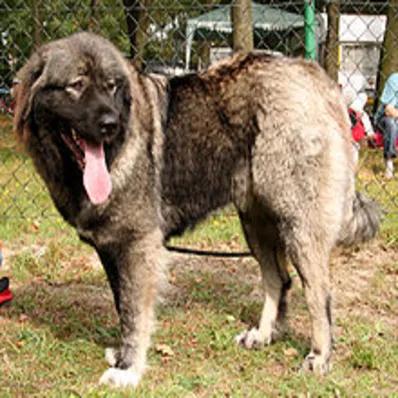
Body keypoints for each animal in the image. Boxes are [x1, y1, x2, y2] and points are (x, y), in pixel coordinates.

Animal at [13, 32, 380, 388]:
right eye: (76, 85)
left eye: (112, 86)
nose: (111, 123)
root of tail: (314, 76)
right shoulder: (111, 249)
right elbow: (122, 305)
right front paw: (122, 355)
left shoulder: (137, 246)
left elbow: (134, 312)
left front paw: (129, 369)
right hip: (256, 223)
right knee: (278, 279)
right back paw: (263, 335)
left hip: (299, 227)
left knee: (318, 293)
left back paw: (319, 356)